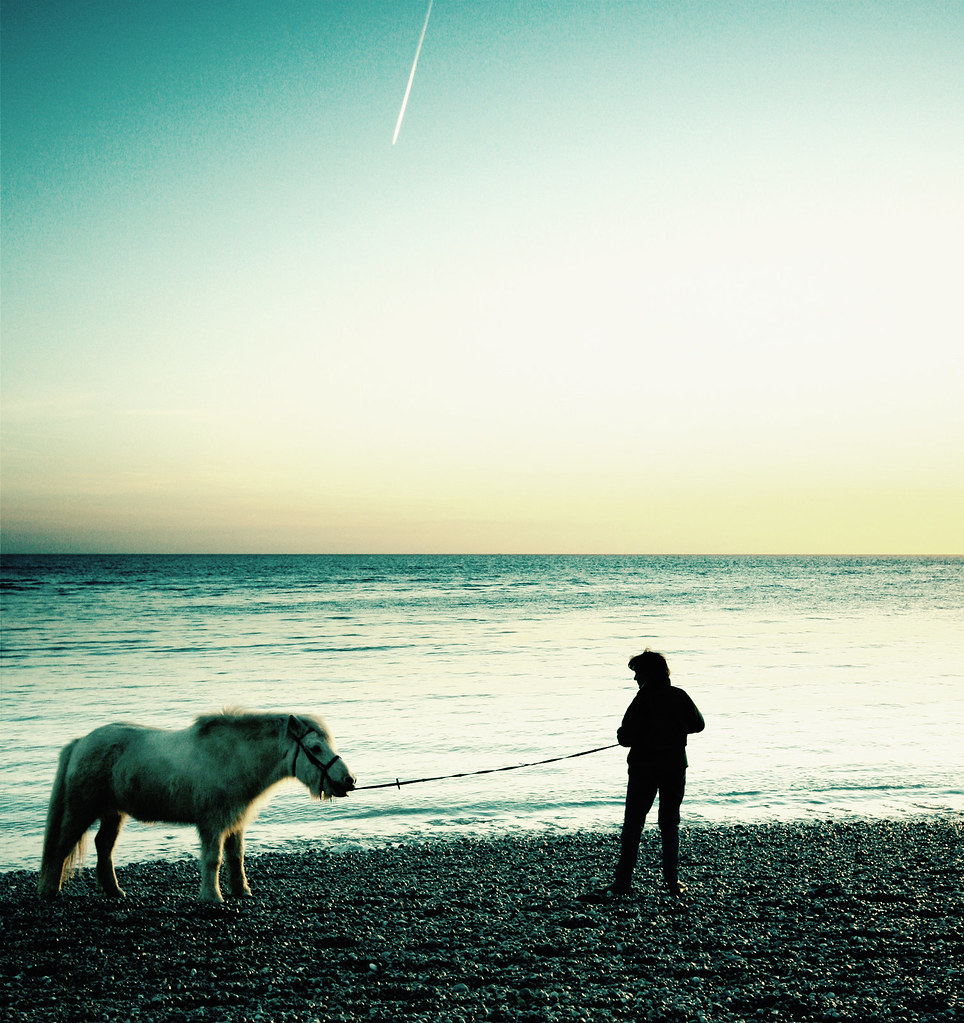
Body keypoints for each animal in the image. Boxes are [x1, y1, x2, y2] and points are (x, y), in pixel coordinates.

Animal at [38, 710, 356, 903]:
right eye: (315, 749)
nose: (348, 780)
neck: (233, 757)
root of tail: (80, 743)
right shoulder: (212, 824)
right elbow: (213, 859)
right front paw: (212, 897)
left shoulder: (235, 823)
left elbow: (236, 858)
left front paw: (242, 891)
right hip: (81, 810)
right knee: (63, 846)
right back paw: (50, 891)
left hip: (113, 813)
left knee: (103, 846)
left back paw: (115, 891)